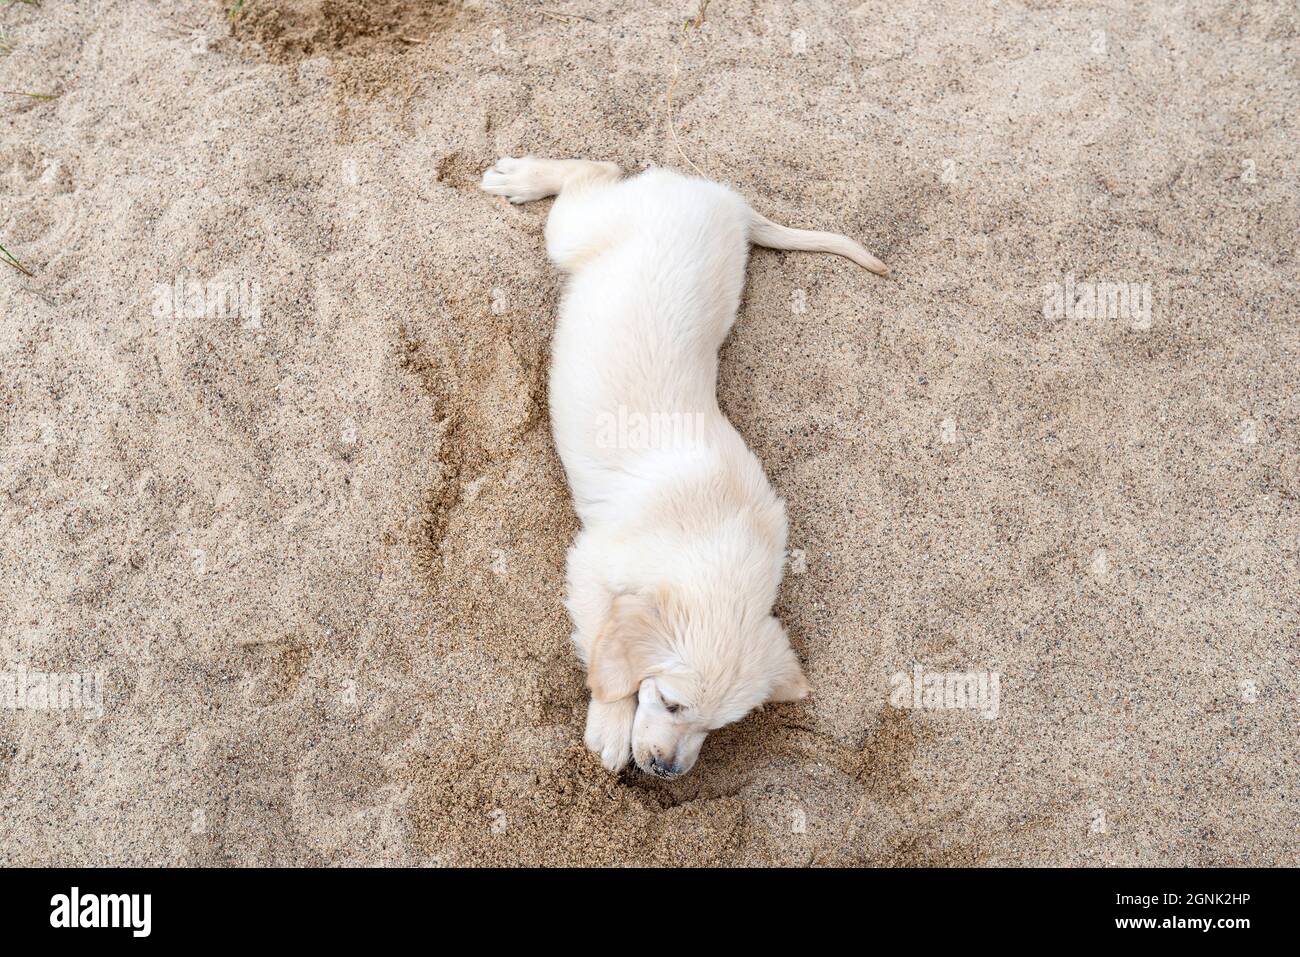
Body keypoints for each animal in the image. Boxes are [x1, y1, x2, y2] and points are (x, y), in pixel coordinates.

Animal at [483, 157, 889, 780]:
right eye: (670, 702)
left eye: (717, 727)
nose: (667, 770)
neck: (717, 546)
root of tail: (720, 198)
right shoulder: (591, 562)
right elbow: (600, 639)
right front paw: (610, 724)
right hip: (581, 230)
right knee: (591, 171)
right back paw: (521, 178)